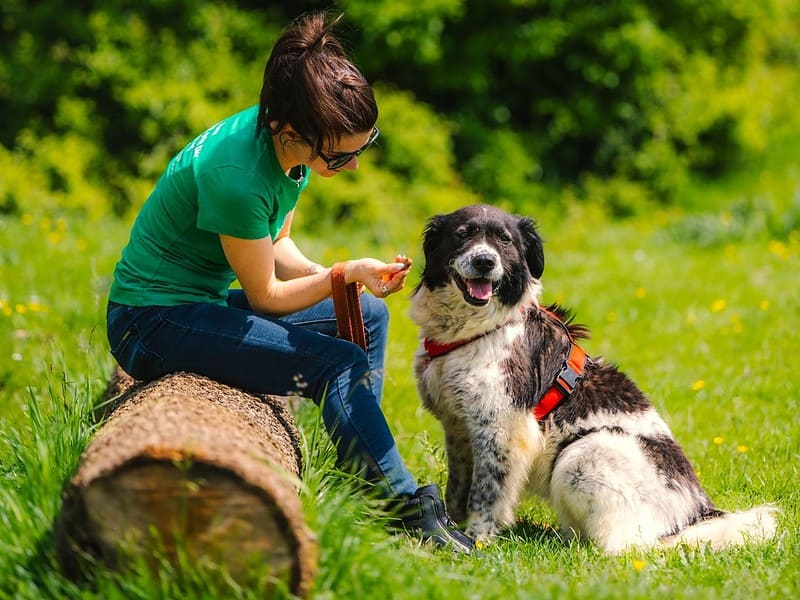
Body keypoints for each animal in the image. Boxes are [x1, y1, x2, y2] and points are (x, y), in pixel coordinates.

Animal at [410, 204, 780, 552]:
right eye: (462, 234)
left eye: (505, 240)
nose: (485, 261)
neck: (473, 332)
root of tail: (696, 513)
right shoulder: (459, 428)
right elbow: (458, 486)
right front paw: (452, 525)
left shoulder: (503, 428)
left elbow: (486, 494)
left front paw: (476, 540)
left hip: (584, 453)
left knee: (625, 547)